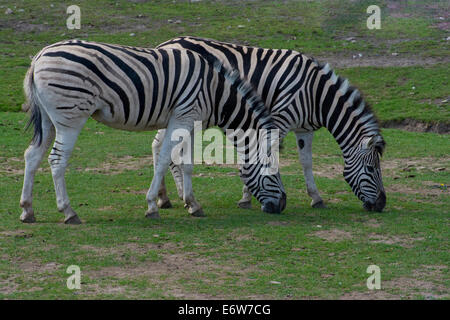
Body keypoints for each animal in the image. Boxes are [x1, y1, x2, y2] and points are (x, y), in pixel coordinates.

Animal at [20, 39, 284, 225]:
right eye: (272, 169)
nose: (282, 205)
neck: (215, 91)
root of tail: (39, 57)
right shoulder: (182, 116)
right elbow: (165, 159)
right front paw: (152, 206)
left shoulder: (189, 120)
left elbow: (187, 163)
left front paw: (193, 204)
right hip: (70, 118)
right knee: (57, 160)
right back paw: (68, 212)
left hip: (48, 119)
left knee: (32, 155)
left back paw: (27, 210)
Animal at [153, 36, 384, 212]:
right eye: (371, 169)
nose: (382, 204)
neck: (316, 94)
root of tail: (166, 43)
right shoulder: (280, 119)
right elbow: (263, 156)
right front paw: (246, 197)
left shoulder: (305, 129)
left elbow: (306, 162)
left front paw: (316, 197)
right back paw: (175, 195)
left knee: (158, 145)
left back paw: (164, 198)